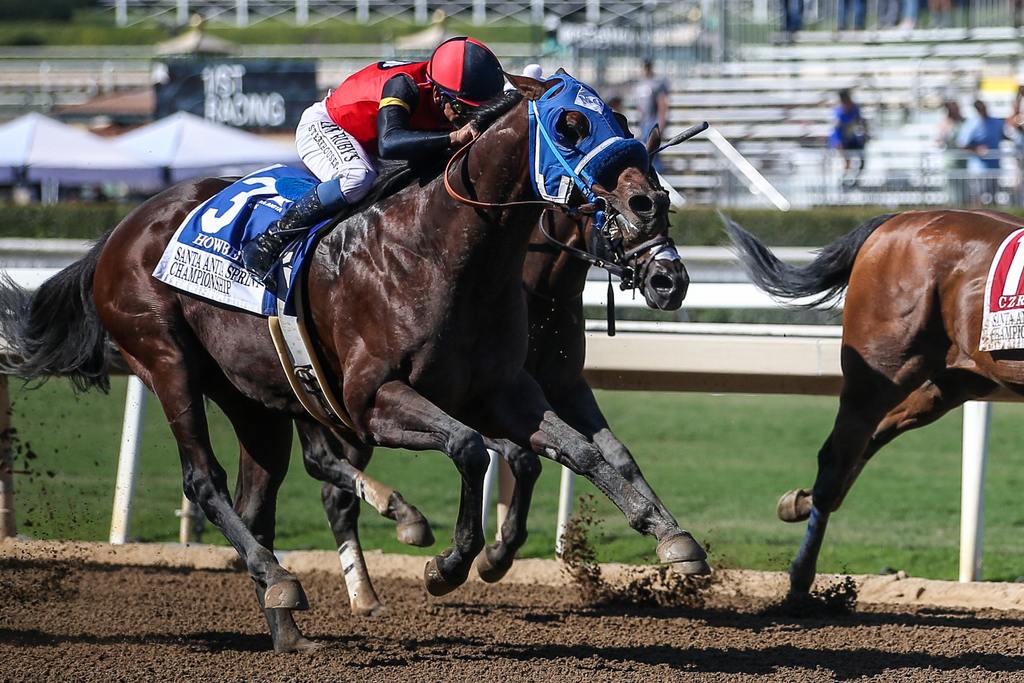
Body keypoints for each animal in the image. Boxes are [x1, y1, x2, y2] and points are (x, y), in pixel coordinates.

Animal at [0, 76, 704, 651]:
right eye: (571, 125)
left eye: (622, 122)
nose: (668, 272)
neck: (443, 253)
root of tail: (120, 231)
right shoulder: (373, 400)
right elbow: (474, 449)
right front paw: (452, 563)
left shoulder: (515, 389)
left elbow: (586, 452)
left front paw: (671, 537)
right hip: (168, 362)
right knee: (207, 480)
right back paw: (312, 570)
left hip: (256, 396)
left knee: (261, 497)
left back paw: (288, 622)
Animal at [724, 209, 1024, 598]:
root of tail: (901, 217)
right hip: (880, 370)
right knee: (838, 457)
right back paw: (801, 577)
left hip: (952, 381)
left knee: (869, 438)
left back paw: (799, 502)